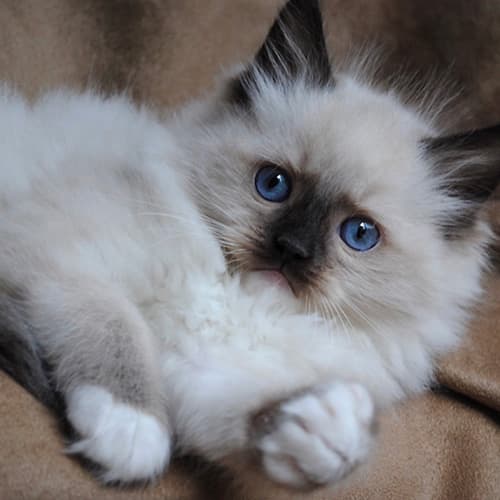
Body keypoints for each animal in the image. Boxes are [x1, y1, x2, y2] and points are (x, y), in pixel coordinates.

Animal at [0, 0, 500, 490]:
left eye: (360, 234)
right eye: (273, 184)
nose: (291, 249)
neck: (239, 305)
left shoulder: (202, 375)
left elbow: (250, 412)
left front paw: (324, 431)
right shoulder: (65, 260)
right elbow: (119, 329)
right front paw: (132, 428)